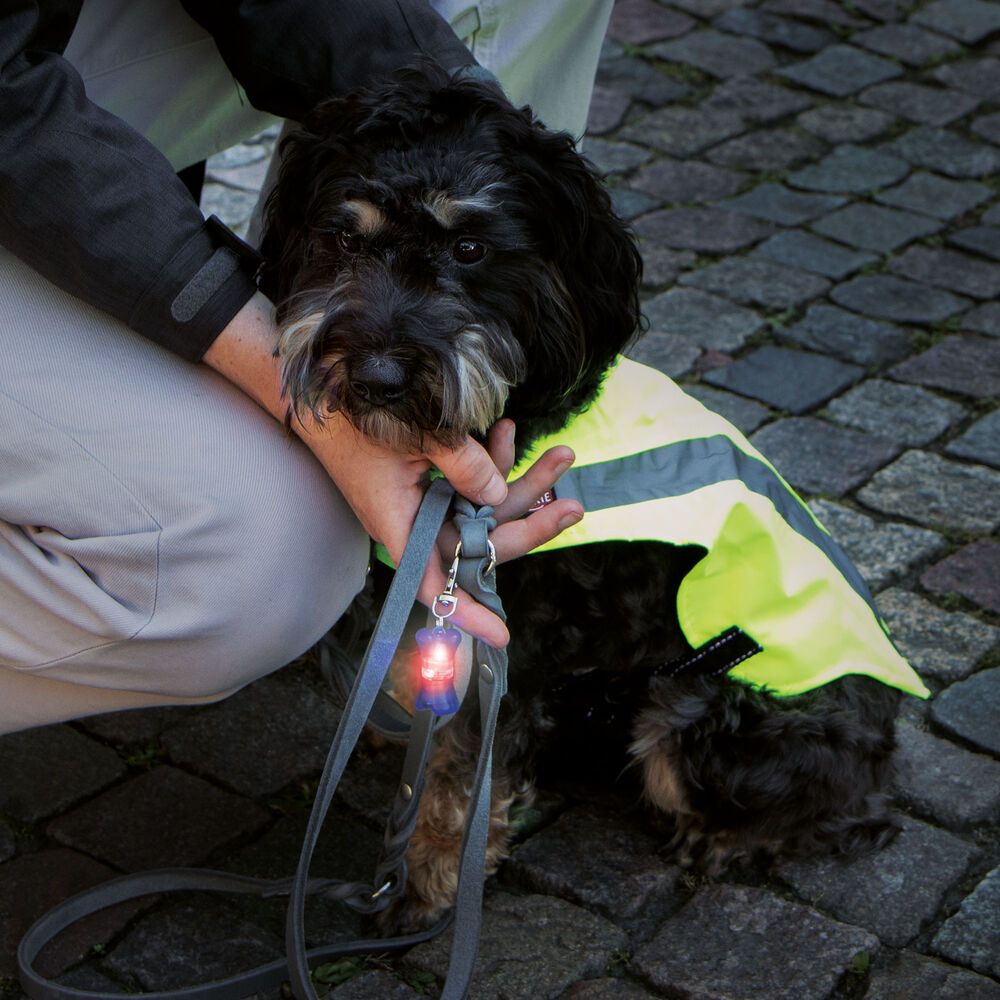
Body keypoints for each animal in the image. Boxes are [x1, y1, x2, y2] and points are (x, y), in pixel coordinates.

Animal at [256, 62, 900, 932]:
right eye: (345, 239)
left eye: (470, 248)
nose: (378, 378)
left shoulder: (506, 641)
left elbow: (460, 782)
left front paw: (426, 885)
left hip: (697, 711)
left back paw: (727, 840)